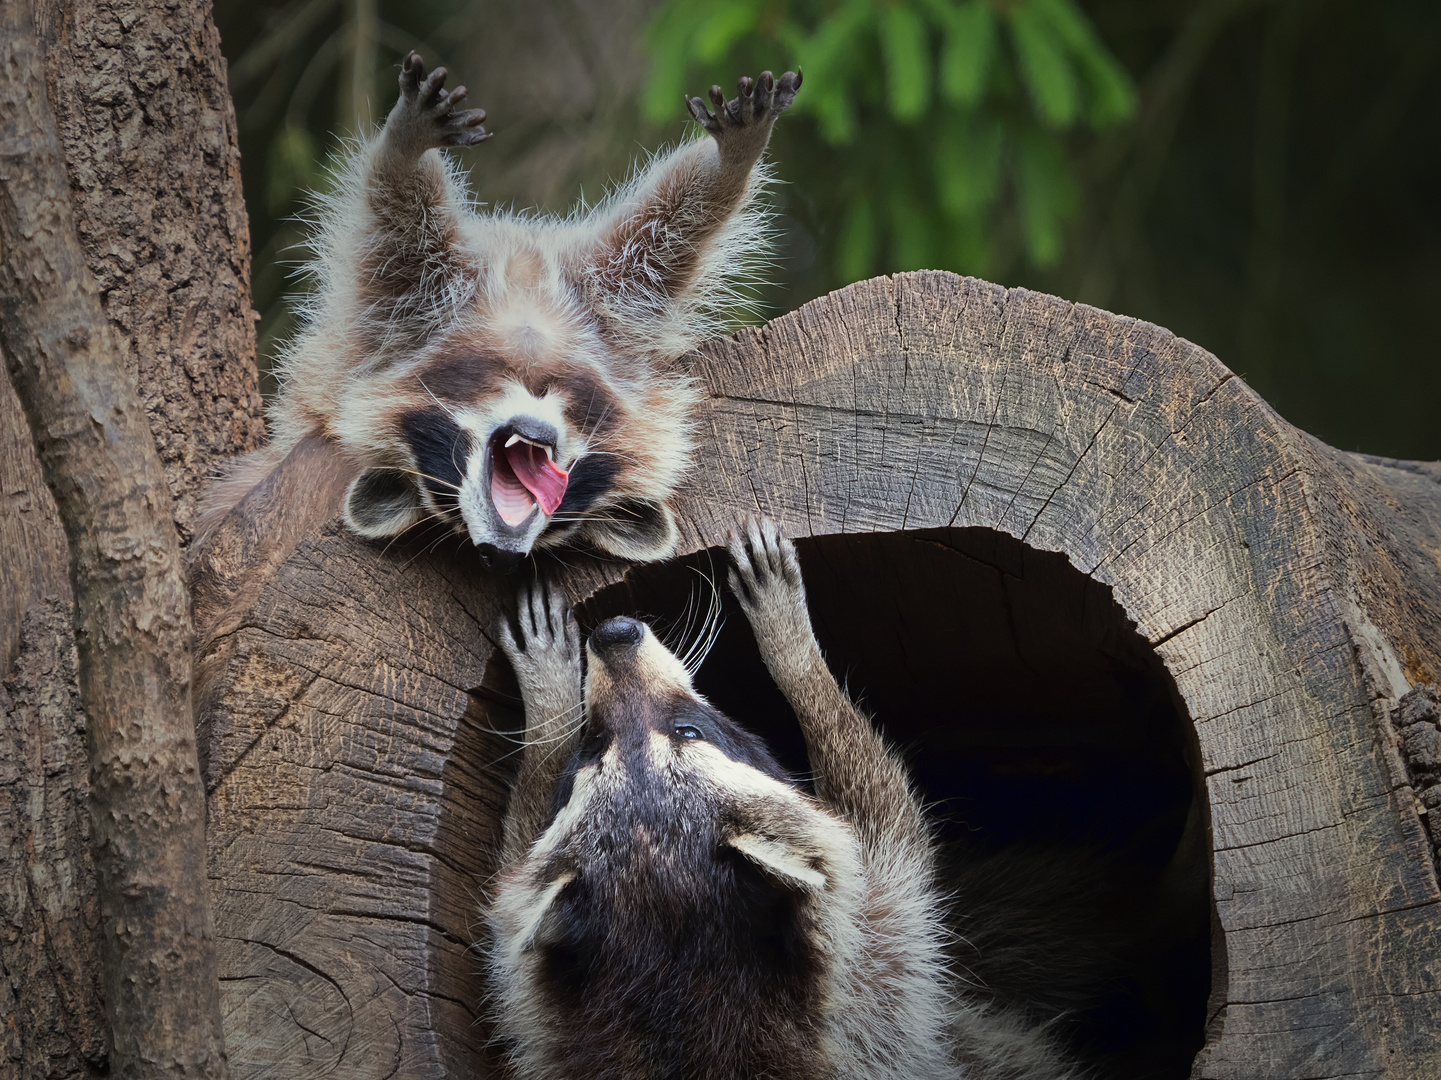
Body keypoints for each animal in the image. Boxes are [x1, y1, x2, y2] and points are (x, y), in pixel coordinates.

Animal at [206, 52, 801, 573]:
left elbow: (678, 223)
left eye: (563, 522)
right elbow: (395, 210)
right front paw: (402, 144)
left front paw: (734, 159)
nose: (501, 557)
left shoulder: (610, 303)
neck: (528, 366)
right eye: (441, 496)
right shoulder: (413, 302)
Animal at [489, 519, 1077, 1072]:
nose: (614, 632)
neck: (683, 974)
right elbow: (884, 807)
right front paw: (794, 651)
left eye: (686, 731)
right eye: (591, 748)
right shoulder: (881, 955)